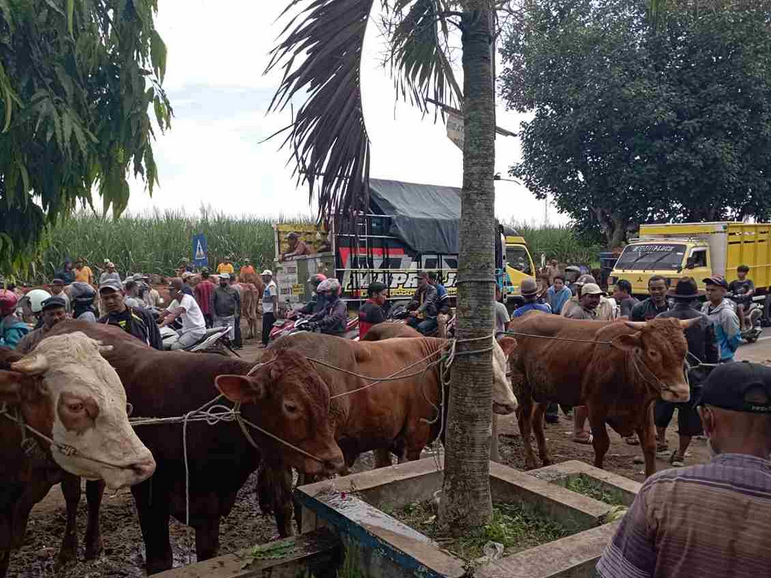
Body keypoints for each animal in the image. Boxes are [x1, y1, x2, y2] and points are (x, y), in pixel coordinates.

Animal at [41, 320, 344, 572]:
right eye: (290, 405)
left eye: (326, 395)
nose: (334, 459)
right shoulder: (150, 499)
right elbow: (160, 561)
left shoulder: (209, 509)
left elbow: (207, 555)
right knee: (74, 496)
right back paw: (67, 552)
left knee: (94, 491)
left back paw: (93, 546)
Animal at [510, 312, 696, 474]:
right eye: (653, 352)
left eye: (684, 351)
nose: (681, 392)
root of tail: (524, 316)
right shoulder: (595, 409)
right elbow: (601, 444)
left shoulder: (645, 411)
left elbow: (650, 446)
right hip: (521, 384)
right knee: (524, 421)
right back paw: (531, 460)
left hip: (544, 389)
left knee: (536, 420)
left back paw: (546, 457)